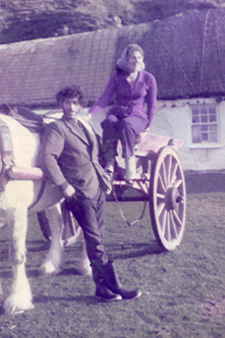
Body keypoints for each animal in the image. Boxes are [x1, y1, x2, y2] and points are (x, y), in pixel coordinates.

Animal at [0, 115, 90, 316]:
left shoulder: (16, 211)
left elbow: (16, 254)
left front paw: (18, 299)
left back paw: (86, 265)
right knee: (57, 227)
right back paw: (51, 264)